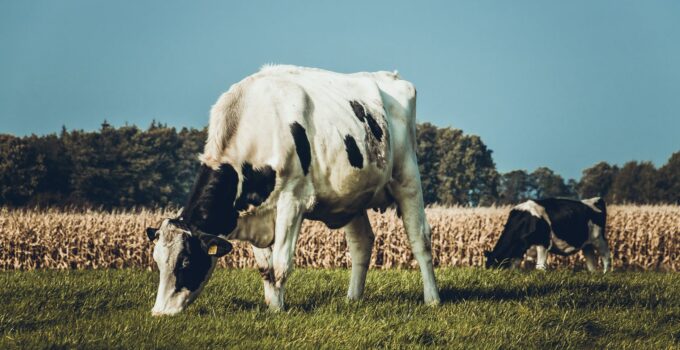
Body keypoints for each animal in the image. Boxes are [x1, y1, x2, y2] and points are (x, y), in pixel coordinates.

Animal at [145, 64, 440, 316]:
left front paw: (280, 311)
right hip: (353, 197)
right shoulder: (255, 215)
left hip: (407, 177)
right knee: (362, 244)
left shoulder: (292, 201)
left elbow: (281, 264)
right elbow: (265, 268)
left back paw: (432, 299)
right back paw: (352, 298)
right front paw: (273, 307)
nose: (159, 313)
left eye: (185, 262)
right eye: (157, 261)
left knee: (420, 239)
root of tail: (391, 76)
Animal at [484, 198, 612, 272]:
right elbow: (515, 263)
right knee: (591, 260)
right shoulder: (520, 248)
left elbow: (540, 266)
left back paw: (606, 272)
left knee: (606, 255)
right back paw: (593, 273)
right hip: (587, 243)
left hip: (599, 239)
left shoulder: (543, 242)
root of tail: (595, 199)